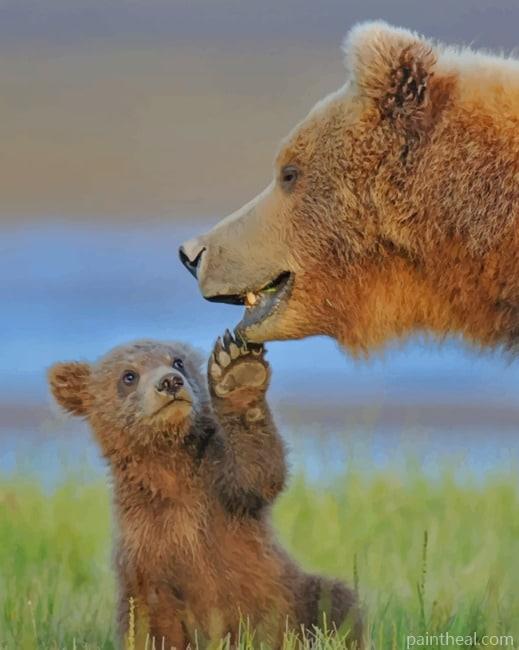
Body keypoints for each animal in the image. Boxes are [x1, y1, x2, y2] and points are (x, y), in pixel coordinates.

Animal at [48, 332, 362, 649]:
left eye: (177, 361)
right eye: (129, 375)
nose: (170, 382)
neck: (169, 467)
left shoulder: (220, 490)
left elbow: (257, 472)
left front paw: (238, 374)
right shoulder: (145, 556)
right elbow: (150, 626)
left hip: (297, 595)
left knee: (336, 601)